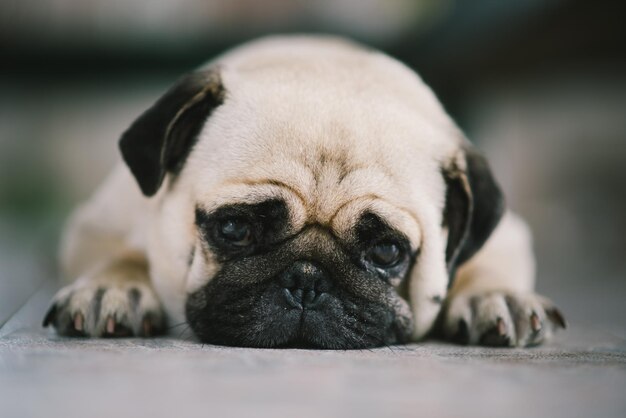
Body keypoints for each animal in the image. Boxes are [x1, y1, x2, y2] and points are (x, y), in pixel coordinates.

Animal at [41, 36, 564, 350]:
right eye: (234, 228)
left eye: (387, 251)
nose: (306, 281)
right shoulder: (102, 219)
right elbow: (119, 254)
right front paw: (112, 287)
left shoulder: (504, 234)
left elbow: (487, 265)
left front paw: (494, 297)